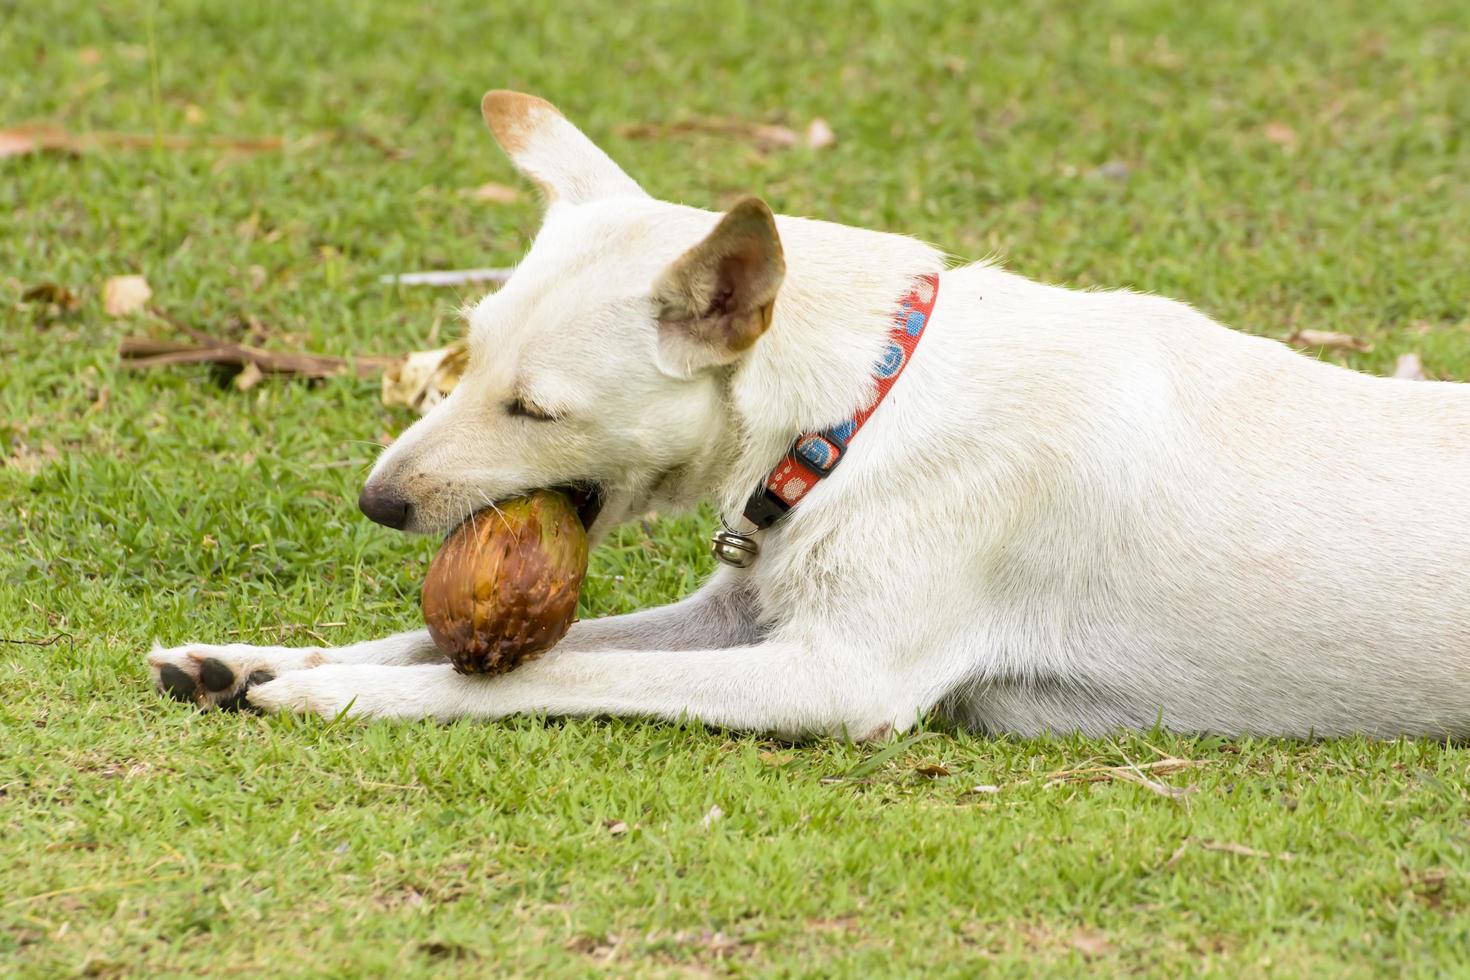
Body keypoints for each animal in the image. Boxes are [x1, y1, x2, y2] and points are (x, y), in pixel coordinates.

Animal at [149, 94, 1470, 743]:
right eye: (462, 360)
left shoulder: (833, 673)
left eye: (535, 409)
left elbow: (538, 673)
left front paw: (324, 697)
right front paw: (254, 661)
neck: (859, 405)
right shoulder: (734, 616)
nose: (377, 502)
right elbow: (437, 640)